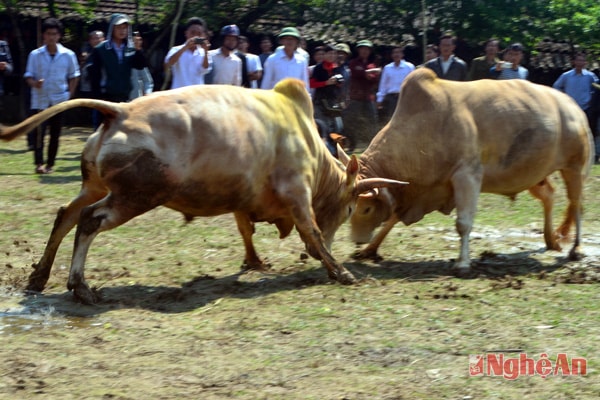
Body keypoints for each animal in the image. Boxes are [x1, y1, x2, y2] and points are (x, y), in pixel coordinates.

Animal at [1, 78, 404, 304]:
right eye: (351, 208)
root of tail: (121, 109)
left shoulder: (243, 195)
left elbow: (246, 230)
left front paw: (255, 263)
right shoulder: (297, 193)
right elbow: (314, 232)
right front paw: (341, 271)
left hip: (96, 186)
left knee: (66, 215)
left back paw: (39, 278)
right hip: (136, 196)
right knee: (88, 219)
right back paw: (80, 287)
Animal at [342, 69, 596, 276]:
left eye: (366, 208)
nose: (355, 238)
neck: (425, 126)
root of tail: (573, 106)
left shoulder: (467, 177)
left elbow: (463, 223)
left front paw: (462, 264)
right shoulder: (416, 190)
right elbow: (392, 218)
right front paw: (370, 249)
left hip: (574, 169)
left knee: (577, 205)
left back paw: (576, 248)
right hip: (533, 173)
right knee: (550, 196)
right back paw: (551, 240)